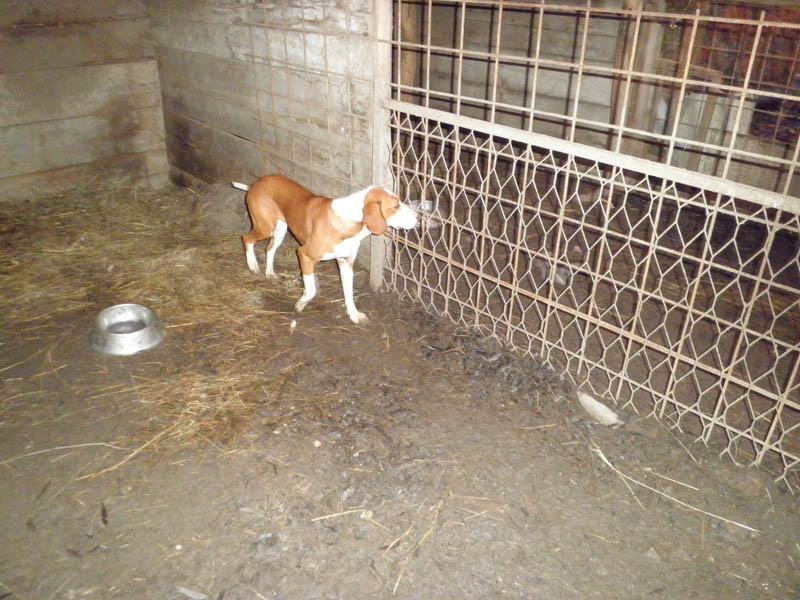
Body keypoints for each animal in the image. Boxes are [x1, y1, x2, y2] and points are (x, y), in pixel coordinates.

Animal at [233, 175, 417, 324]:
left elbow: (349, 293)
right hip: (264, 227)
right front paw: (300, 304)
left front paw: (354, 315)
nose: (418, 217)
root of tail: (254, 184)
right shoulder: (304, 255)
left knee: (269, 249)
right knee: (246, 238)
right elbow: (311, 290)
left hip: (279, 230)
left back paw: (269, 272)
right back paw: (253, 265)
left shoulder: (346, 263)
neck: (348, 223)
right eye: (396, 206)